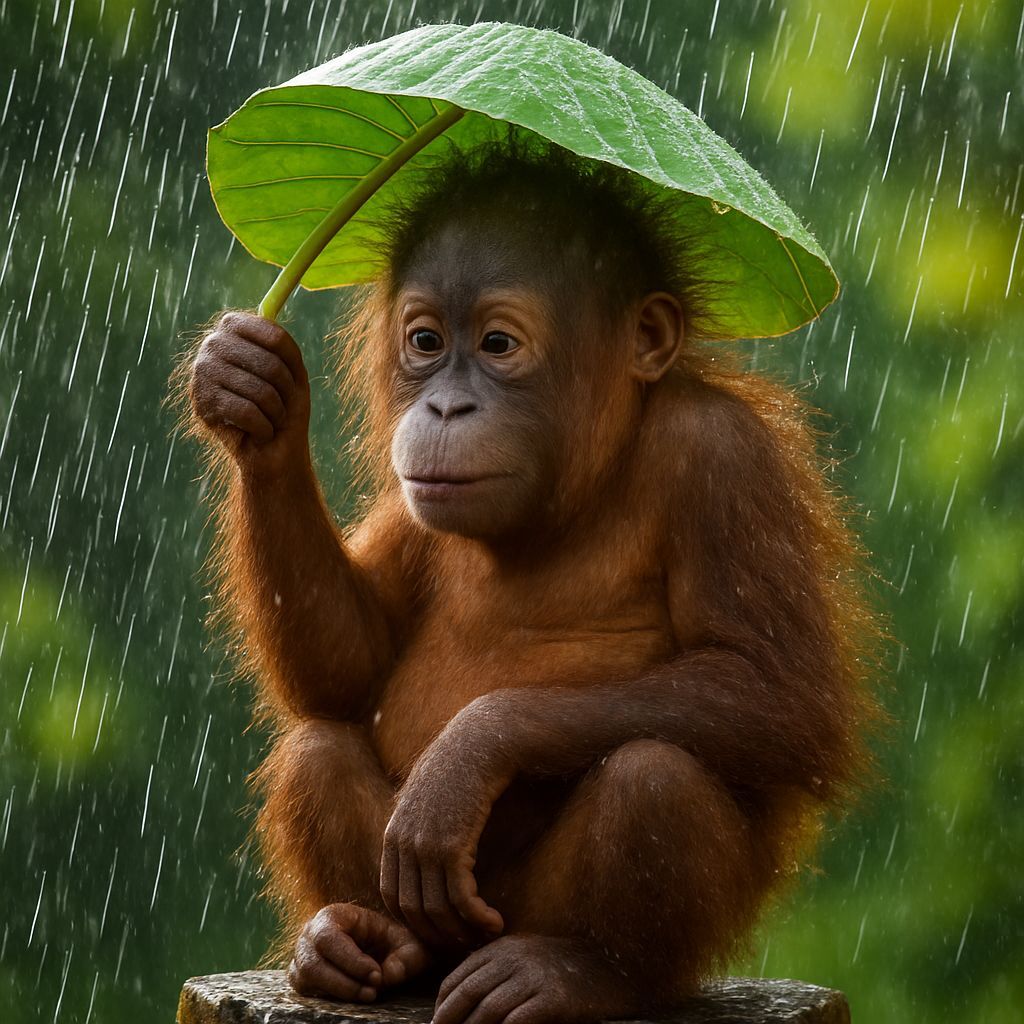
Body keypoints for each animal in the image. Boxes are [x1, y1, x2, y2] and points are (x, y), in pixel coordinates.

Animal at [186, 141, 878, 1024]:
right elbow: (347, 671)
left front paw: (465, 755)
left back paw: (572, 974)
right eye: (424, 340)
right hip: (445, 920)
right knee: (318, 747)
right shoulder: (415, 502)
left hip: (531, 915)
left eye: (498, 344)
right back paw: (359, 946)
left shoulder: (726, 455)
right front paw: (248, 388)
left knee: (655, 776)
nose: (445, 409)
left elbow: (783, 692)